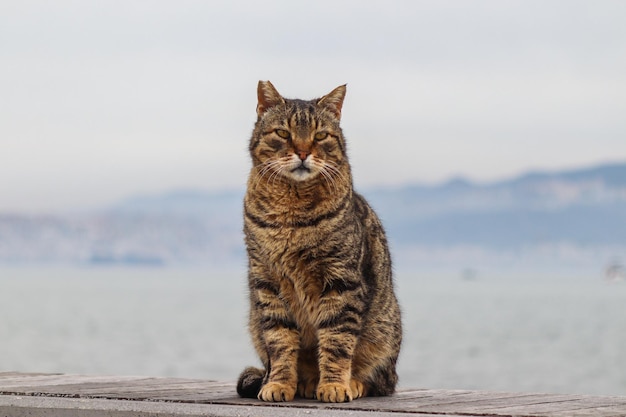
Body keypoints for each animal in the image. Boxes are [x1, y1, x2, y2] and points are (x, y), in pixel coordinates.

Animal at [234, 79, 400, 402]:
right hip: (254, 319)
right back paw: (305, 382)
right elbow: (280, 342)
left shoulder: (341, 281)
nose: (302, 152)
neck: (291, 212)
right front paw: (280, 383)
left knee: (380, 380)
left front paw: (335, 384)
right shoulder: (267, 282)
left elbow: (337, 340)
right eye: (283, 133)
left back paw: (351, 382)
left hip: (384, 332)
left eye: (320, 135)